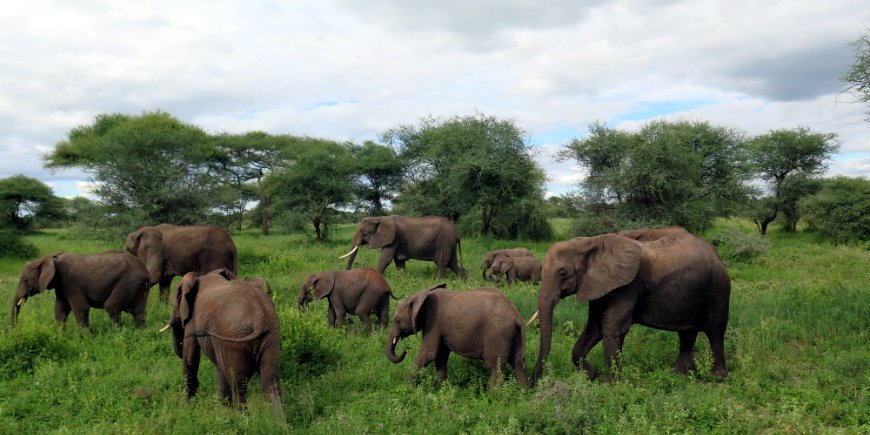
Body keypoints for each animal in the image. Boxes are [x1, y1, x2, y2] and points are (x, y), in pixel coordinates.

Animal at [11, 251, 149, 328]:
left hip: (128, 281)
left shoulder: (71, 283)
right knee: (138, 312)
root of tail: (145, 270)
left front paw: (87, 340)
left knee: (112, 307)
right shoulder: (61, 285)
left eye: (25, 280)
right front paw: (59, 337)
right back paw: (140, 332)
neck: (49, 258)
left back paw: (119, 334)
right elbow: (60, 309)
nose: (14, 329)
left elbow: (81, 307)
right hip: (139, 285)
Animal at [161, 269, 281, 409]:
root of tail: (259, 320)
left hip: (233, 339)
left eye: (173, 304)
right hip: (271, 336)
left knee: (238, 384)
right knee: (271, 381)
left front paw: (185, 405)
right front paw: (223, 407)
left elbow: (190, 357)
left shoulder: (193, 319)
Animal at [386, 284, 529, 388]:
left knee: (496, 365)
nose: (405, 350)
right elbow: (441, 355)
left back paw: (493, 395)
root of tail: (517, 315)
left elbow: (429, 353)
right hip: (514, 334)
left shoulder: (433, 321)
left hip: (496, 334)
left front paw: (407, 387)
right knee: (517, 361)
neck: (419, 296)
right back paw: (523, 392)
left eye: (397, 320)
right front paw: (442, 388)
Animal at [530, 229, 731, 384]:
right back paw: (678, 374)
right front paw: (592, 375)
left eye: (562, 273)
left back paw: (717, 377)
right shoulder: (597, 284)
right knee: (687, 333)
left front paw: (612, 386)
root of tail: (716, 254)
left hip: (718, 289)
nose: (531, 386)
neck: (589, 242)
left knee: (715, 331)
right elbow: (594, 327)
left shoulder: (628, 286)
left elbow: (611, 327)